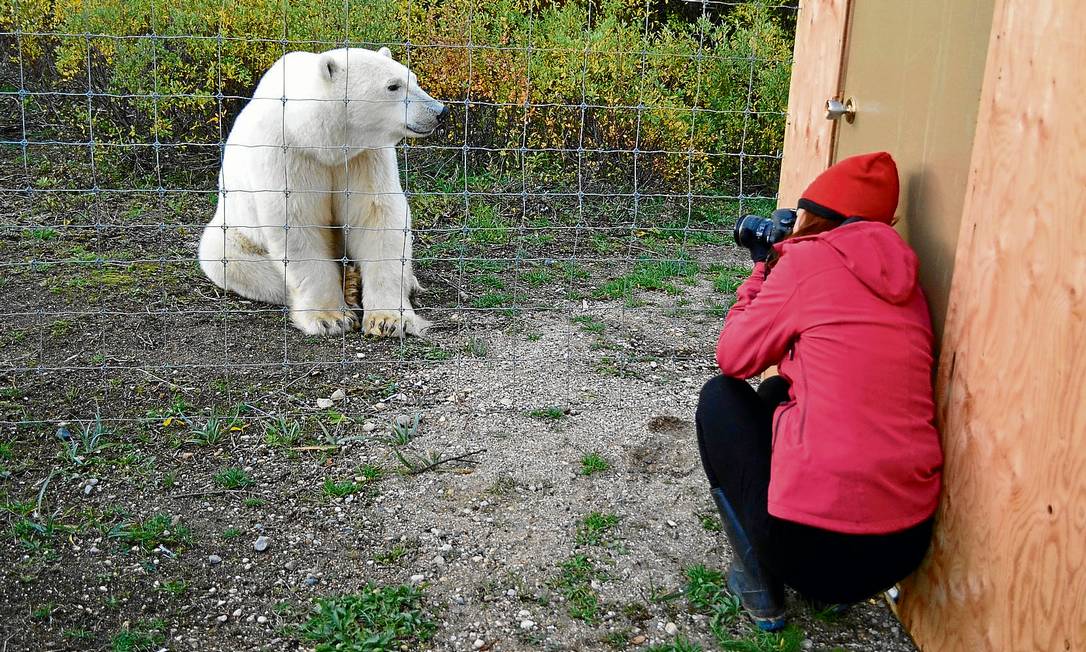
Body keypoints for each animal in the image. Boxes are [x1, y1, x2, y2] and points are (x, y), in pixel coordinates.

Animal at [198, 46, 445, 336]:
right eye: (393, 86)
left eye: (414, 79)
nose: (439, 111)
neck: (319, 140)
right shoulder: (287, 154)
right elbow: (297, 223)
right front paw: (331, 318)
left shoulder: (365, 156)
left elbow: (376, 215)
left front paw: (389, 320)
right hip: (233, 232)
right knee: (233, 262)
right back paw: (349, 284)